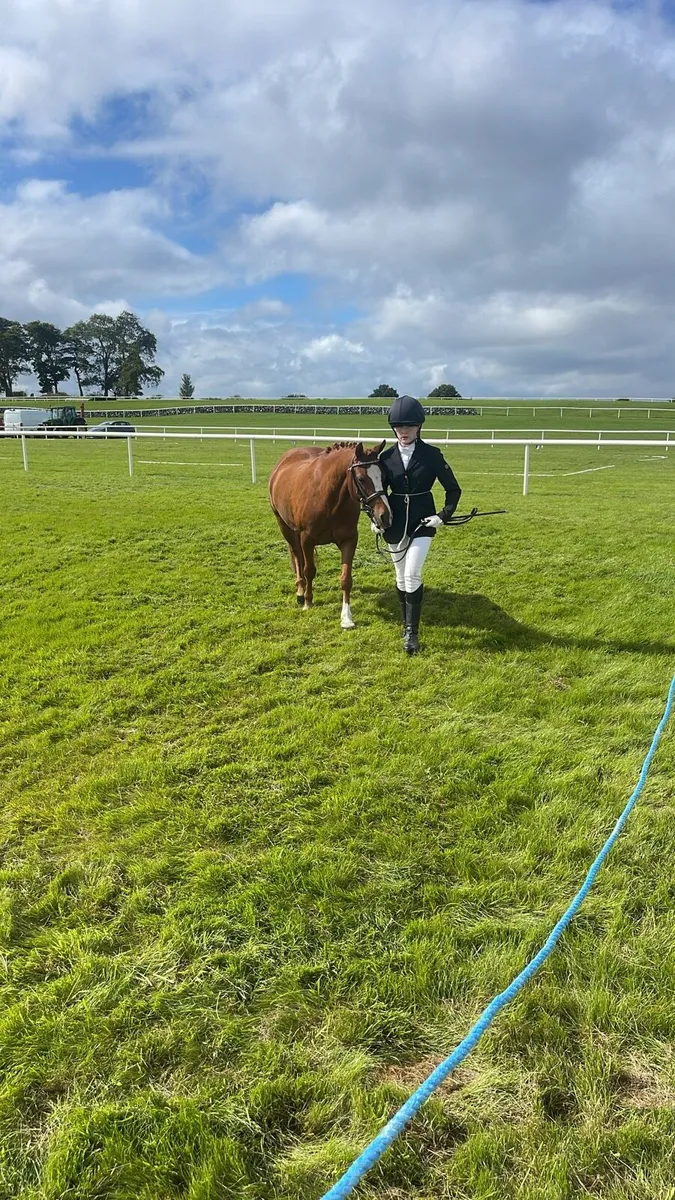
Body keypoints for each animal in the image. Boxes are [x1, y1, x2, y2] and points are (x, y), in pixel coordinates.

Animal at [269, 440, 391, 628]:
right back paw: (300, 591)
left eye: (384, 477)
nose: (385, 516)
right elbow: (309, 570)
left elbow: (346, 578)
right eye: (361, 479)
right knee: (296, 556)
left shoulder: (349, 540)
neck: (329, 498)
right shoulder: (307, 540)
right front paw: (308, 602)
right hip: (285, 527)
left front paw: (346, 617)